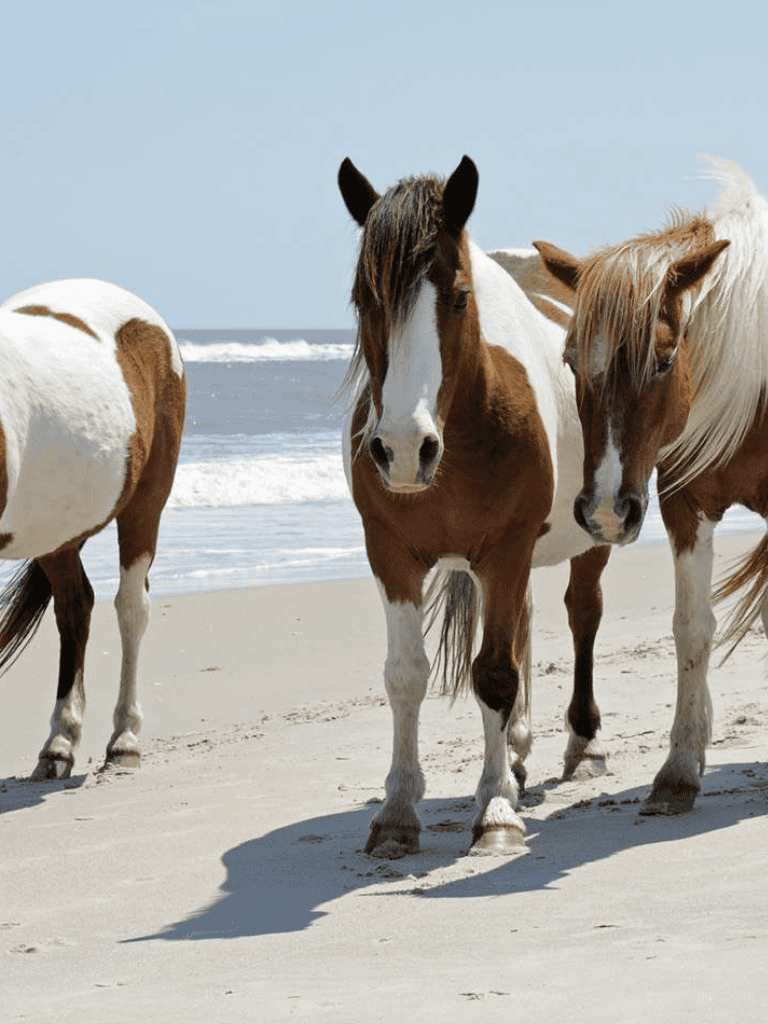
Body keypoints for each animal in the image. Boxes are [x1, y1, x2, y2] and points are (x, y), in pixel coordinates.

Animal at [0, 278, 185, 780]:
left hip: (145, 503)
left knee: (131, 609)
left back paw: (123, 740)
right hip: (55, 533)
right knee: (75, 607)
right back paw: (59, 743)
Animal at [338, 155, 611, 857]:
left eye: (460, 297)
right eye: (363, 299)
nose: (404, 450)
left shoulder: (506, 549)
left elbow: (494, 675)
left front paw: (495, 811)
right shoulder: (391, 554)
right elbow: (407, 674)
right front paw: (397, 811)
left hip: (589, 537)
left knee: (581, 616)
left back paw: (582, 745)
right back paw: (515, 751)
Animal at [535, 159, 768, 814]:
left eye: (663, 360)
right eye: (570, 361)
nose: (607, 512)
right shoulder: (685, 507)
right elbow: (691, 628)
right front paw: (680, 768)